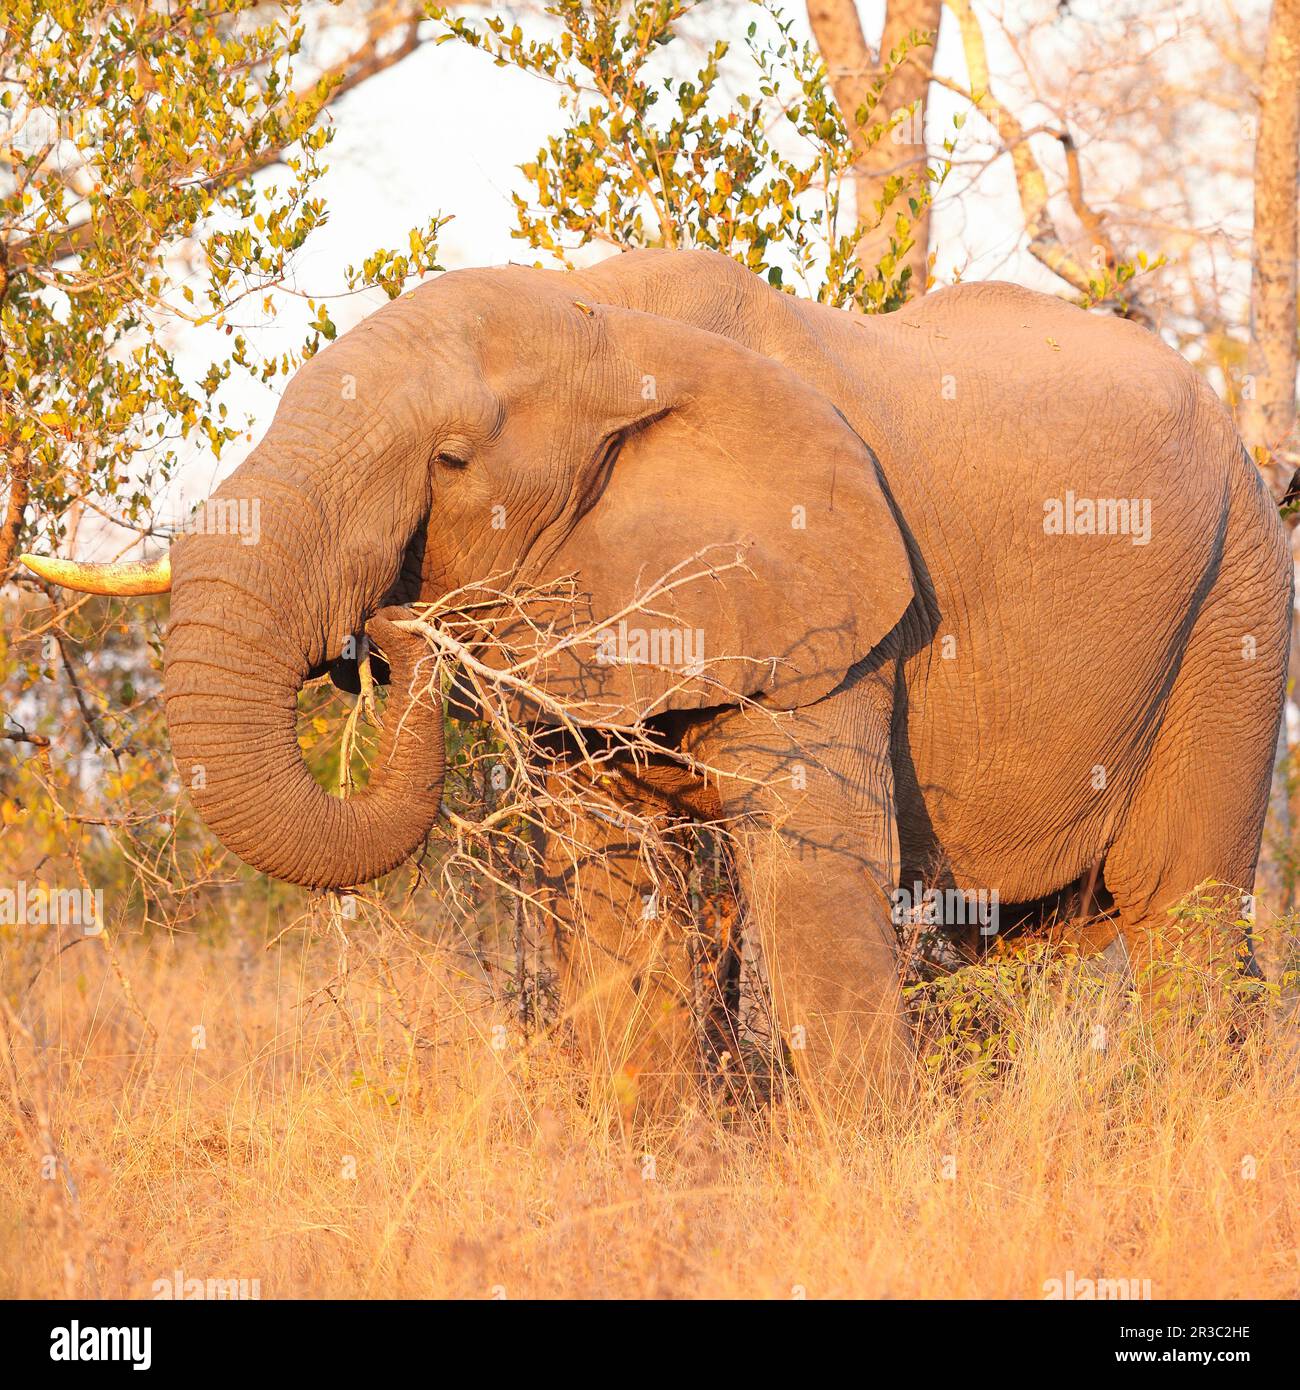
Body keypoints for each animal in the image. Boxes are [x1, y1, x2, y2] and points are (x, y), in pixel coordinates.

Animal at [25, 250, 1295, 1112]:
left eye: (446, 461)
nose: (386, 633)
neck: (603, 325)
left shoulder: (824, 604)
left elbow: (813, 877)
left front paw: (887, 1175)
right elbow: (612, 876)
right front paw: (656, 1152)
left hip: (1237, 600)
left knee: (1179, 904)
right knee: (1021, 942)